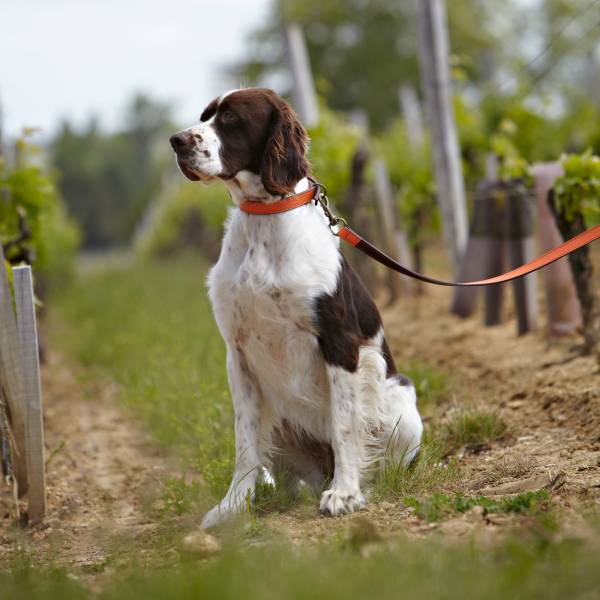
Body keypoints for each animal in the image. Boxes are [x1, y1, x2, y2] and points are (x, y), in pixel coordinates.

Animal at [169, 86, 422, 528]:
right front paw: (234, 506)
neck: (263, 220)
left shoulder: (340, 343)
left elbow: (345, 426)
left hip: (401, 403)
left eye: (231, 118)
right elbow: (245, 441)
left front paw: (345, 494)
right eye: (204, 116)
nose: (177, 141)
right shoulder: (237, 352)